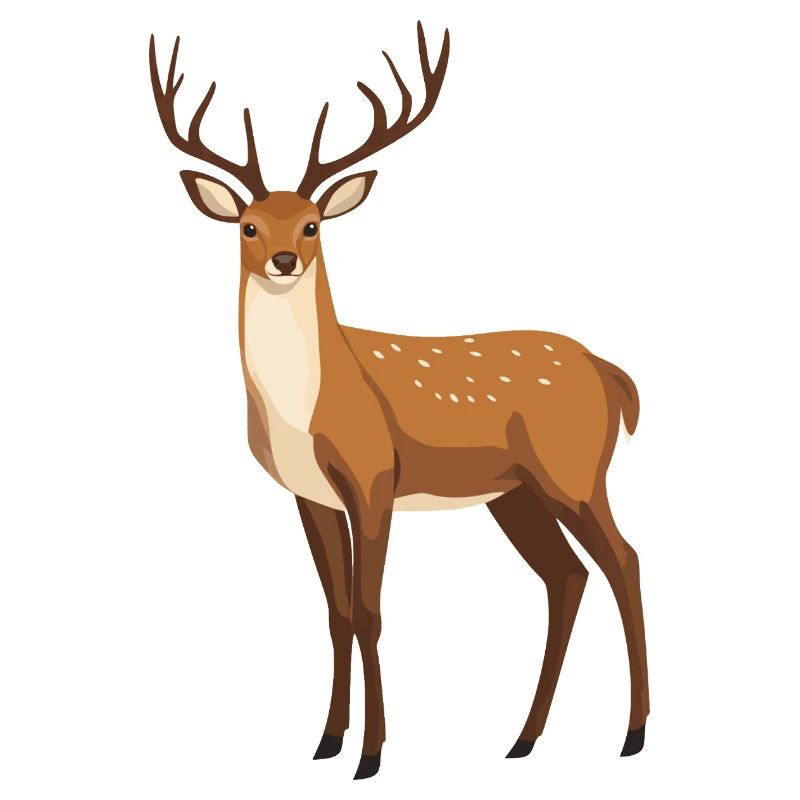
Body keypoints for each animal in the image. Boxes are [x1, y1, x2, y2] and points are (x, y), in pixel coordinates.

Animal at [149, 22, 649, 781]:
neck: (306, 409)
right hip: (515, 492)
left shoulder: (374, 475)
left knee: (624, 560)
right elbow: (336, 613)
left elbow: (370, 611)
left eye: (314, 224)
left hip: (574, 470)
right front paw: (326, 741)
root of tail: (610, 372)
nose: (285, 261)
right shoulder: (310, 495)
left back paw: (633, 733)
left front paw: (372, 754)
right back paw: (524, 739)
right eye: (249, 226)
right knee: (566, 576)